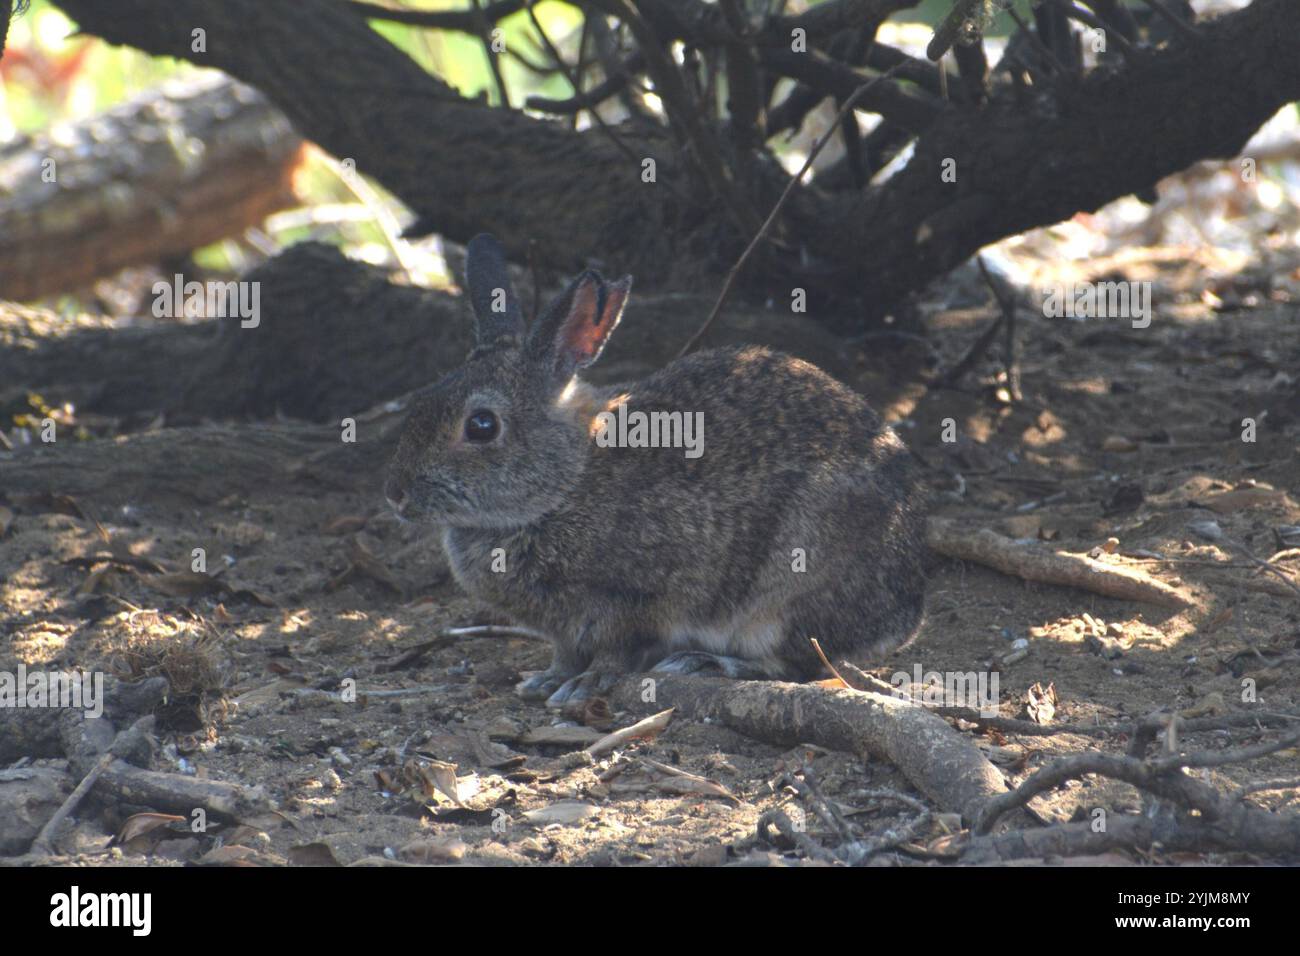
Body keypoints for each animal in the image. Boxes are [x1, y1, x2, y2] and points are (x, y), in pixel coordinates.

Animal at [384, 234, 925, 707]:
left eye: (481, 426)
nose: (395, 494)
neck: (566, 485)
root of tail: (905, 611)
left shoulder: (632, 600)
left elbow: (615, 650)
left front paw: (582, 687)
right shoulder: (566, 629)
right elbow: (565, 653)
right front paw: (546, 681)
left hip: (787, 586)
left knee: (797, 662)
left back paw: (705, 663)